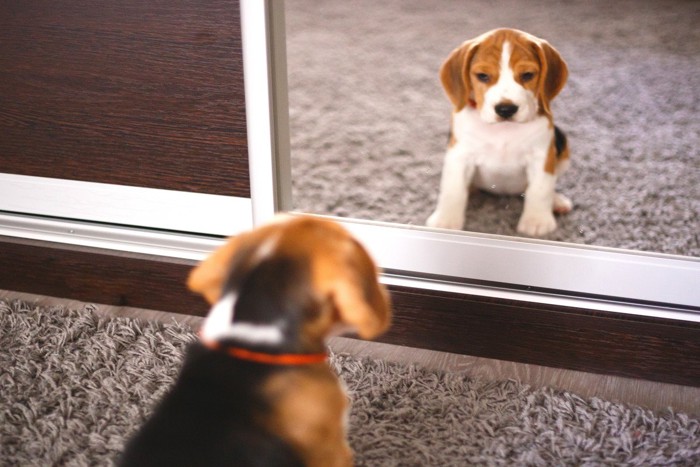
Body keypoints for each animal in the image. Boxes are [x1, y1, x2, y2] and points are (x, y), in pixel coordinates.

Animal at [426, 27, 568, 236]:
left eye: (527, 75)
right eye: (482, 76)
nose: (506, 109)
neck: (503, 130)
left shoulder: (542, 156)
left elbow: (540, 189)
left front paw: (537, 221)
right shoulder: (459, 155)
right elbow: (454, 188)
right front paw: (446, 221)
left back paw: (557, 201)